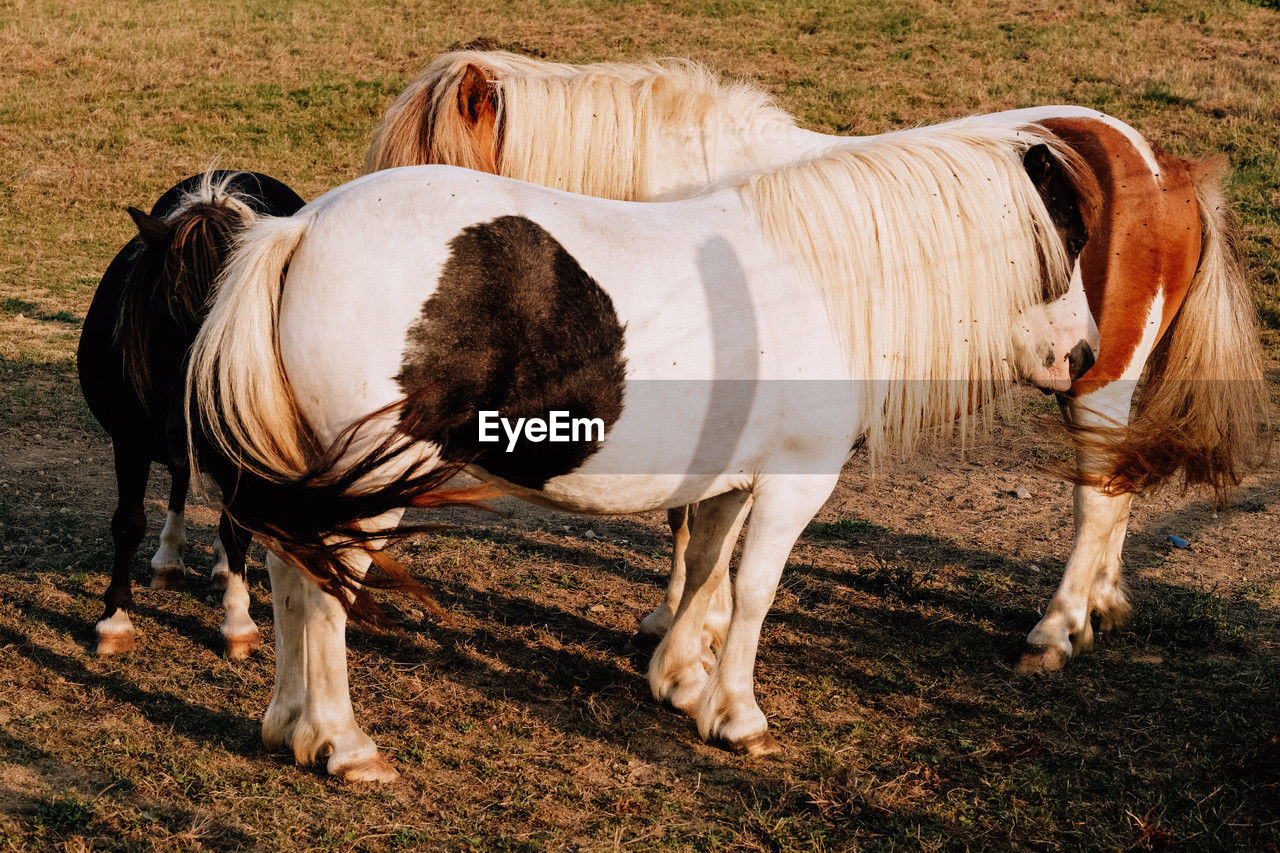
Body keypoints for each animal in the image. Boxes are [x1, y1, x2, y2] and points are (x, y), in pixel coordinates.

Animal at [77, 171, 305, 657]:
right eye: (164, 315)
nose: (195, 430)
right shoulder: (129, 439)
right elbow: (128, 522)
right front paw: (114, 619)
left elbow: (237, 529)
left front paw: (238, 620)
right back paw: (169, 558)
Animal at [188, 118, 1104, 780]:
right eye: (1066, 244)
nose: (1085, 357)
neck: (820, 277)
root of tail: (300, 230)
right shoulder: (794, 482)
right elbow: (755, 591)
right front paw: (736, 712)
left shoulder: (731, 479)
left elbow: (705, 568)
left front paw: (681, 680)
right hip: (371, 485)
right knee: (326, 594)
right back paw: (341, 742)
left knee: (290, 575)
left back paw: (288, 725)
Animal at [364, 50, 1269, 674]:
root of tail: (1160, 166)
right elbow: (690, 516)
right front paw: (679, 624)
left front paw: (695, 633)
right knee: (1117, 495)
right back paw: (1099, 608)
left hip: (1095, 378)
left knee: (1098, 500)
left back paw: (1054, 628)